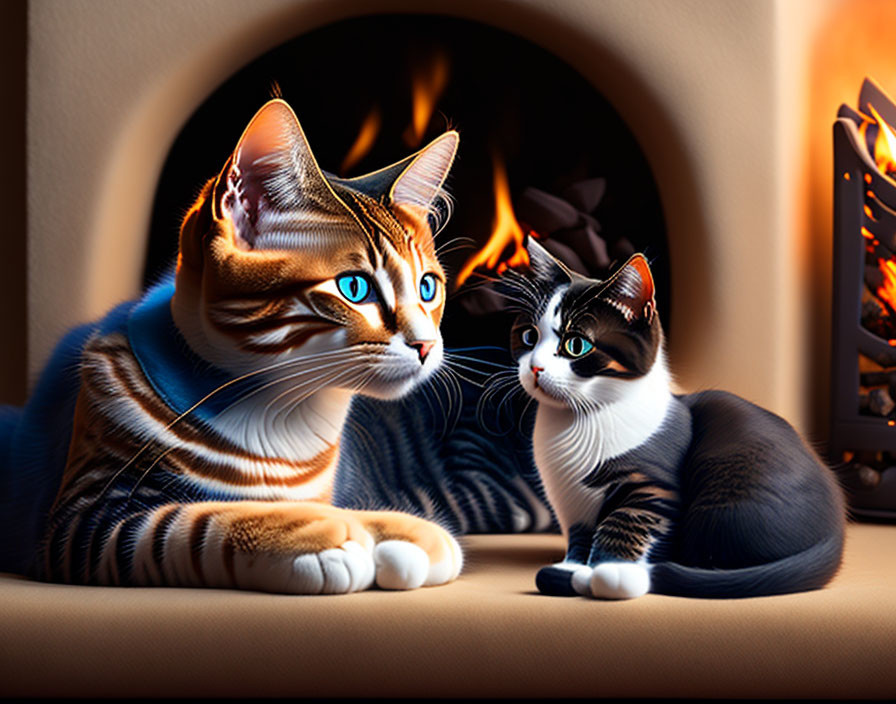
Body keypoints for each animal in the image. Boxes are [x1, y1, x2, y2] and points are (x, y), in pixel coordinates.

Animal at [0, 100, 472, 592]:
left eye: (427, 287)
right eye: (355, 288)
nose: (425, 345)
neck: (284, 419)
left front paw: (405, 530)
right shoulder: (83, 522)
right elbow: (191, 521)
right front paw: (316, 534)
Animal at [504, 242, 848, 600]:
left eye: (576, 345)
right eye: (528, 337)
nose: (535, 367)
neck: (576, 421)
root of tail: (835, 531)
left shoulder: (654, 484)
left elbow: (627, 522)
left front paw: (612, 571)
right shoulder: (572, 505)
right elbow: (580, 538)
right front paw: (572, 567)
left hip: (722, 503)